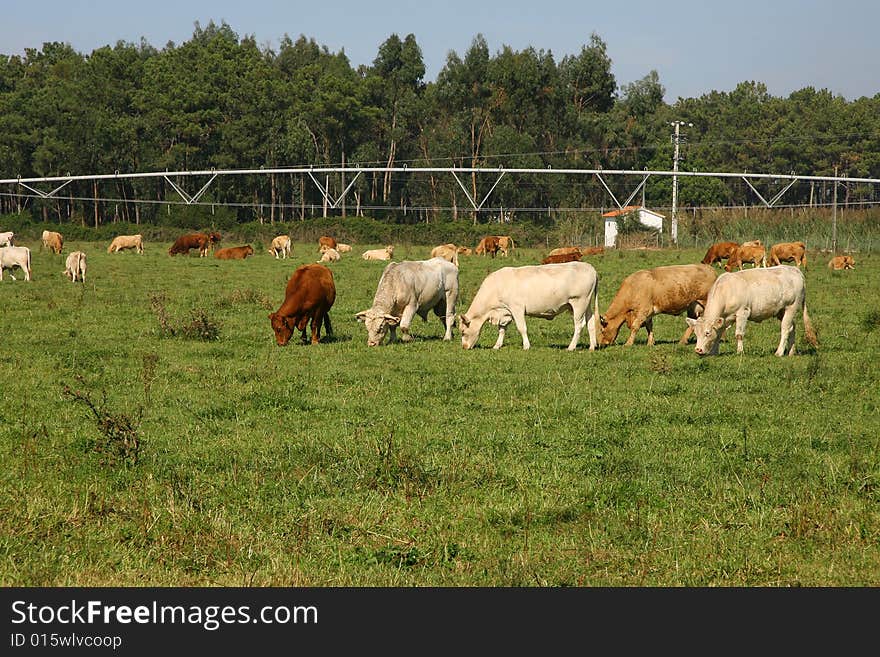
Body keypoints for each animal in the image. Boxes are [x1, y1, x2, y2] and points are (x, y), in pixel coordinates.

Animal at [458, 262, 600, 354]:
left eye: (463, 332)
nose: (464, 347)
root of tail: (590, 267)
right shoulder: (505, 312)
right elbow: (502, 329)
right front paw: (497, 346)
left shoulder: (517, 308)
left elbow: (522, 328)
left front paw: (526, 346)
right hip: (586, 304)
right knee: (590, 323)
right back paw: (592, 346)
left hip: (579, 302)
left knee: (579, 325)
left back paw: (571, 347)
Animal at [684, 262, 820, 356]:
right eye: (696, 333)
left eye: (707, 333)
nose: (698, 350)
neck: (726, 290)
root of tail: (795, 270)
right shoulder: (723, 318)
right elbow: (718, 334)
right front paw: (714, 353)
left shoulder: (743, 312)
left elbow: (739, 334)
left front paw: (740, 352)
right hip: (782, 311)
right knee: (792, 327)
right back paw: (791, 351)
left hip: (792, 307)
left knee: (785, 328)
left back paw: (779, 352)